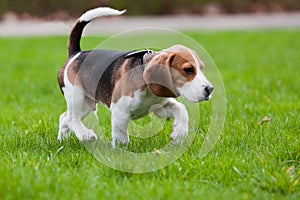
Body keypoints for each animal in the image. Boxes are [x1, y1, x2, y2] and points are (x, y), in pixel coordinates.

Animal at [57, 7, 213, 147]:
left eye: (202, 68)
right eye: (188, 70)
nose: (210, 89)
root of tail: (76, 54)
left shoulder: (159, 106)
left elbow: (181, 109)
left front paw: (179, 134)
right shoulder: (119, 111)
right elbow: (121, 137)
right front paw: (120, 152)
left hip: (87, 104)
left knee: (64, 117)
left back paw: (62, 141)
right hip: (77, 97)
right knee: (71, 119)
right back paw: (85, 135)